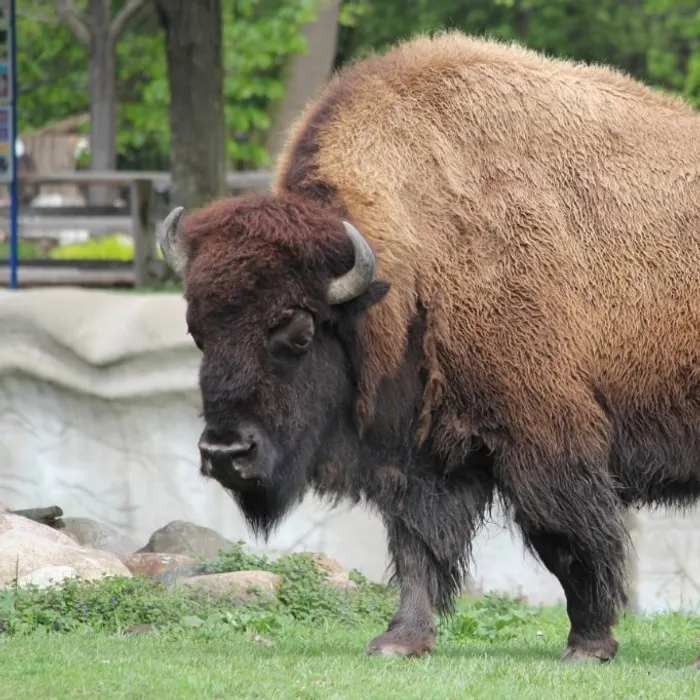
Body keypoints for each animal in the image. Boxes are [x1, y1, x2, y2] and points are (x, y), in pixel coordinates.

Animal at [157, 32, 700, 665]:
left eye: (299, 330)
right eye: (198, 331)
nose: (225, 452)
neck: (415, 253)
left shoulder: (544, 439)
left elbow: (567, 540)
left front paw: (588, 645)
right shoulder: (422, 450)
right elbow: (416, 544)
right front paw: (400, 641)